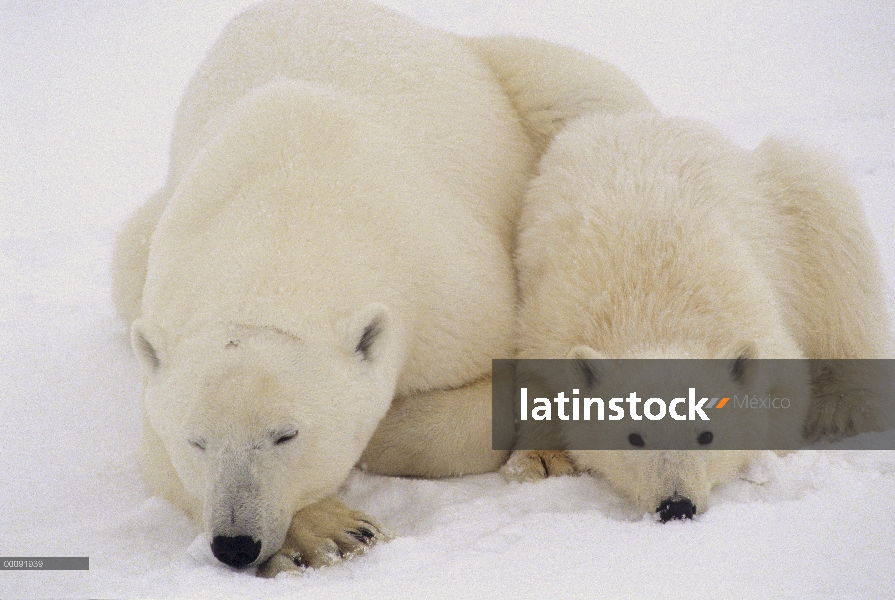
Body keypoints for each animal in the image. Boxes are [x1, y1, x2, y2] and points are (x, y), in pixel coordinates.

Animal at [115, 0, 656, 576]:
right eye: (196, 441)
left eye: (286, 434)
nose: (235, 543)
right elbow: (157, 457)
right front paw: (326, 531)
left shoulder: (445, 288)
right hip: (138, 245)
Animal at [508, 111, 892, 520]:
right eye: (634, 437)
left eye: (706, 435)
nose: (676, 506)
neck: (656, 308)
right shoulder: (550, 318)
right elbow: (536, 389)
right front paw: (541, 460)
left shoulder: (751, 311)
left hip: (793, 213)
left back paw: (841, 406)